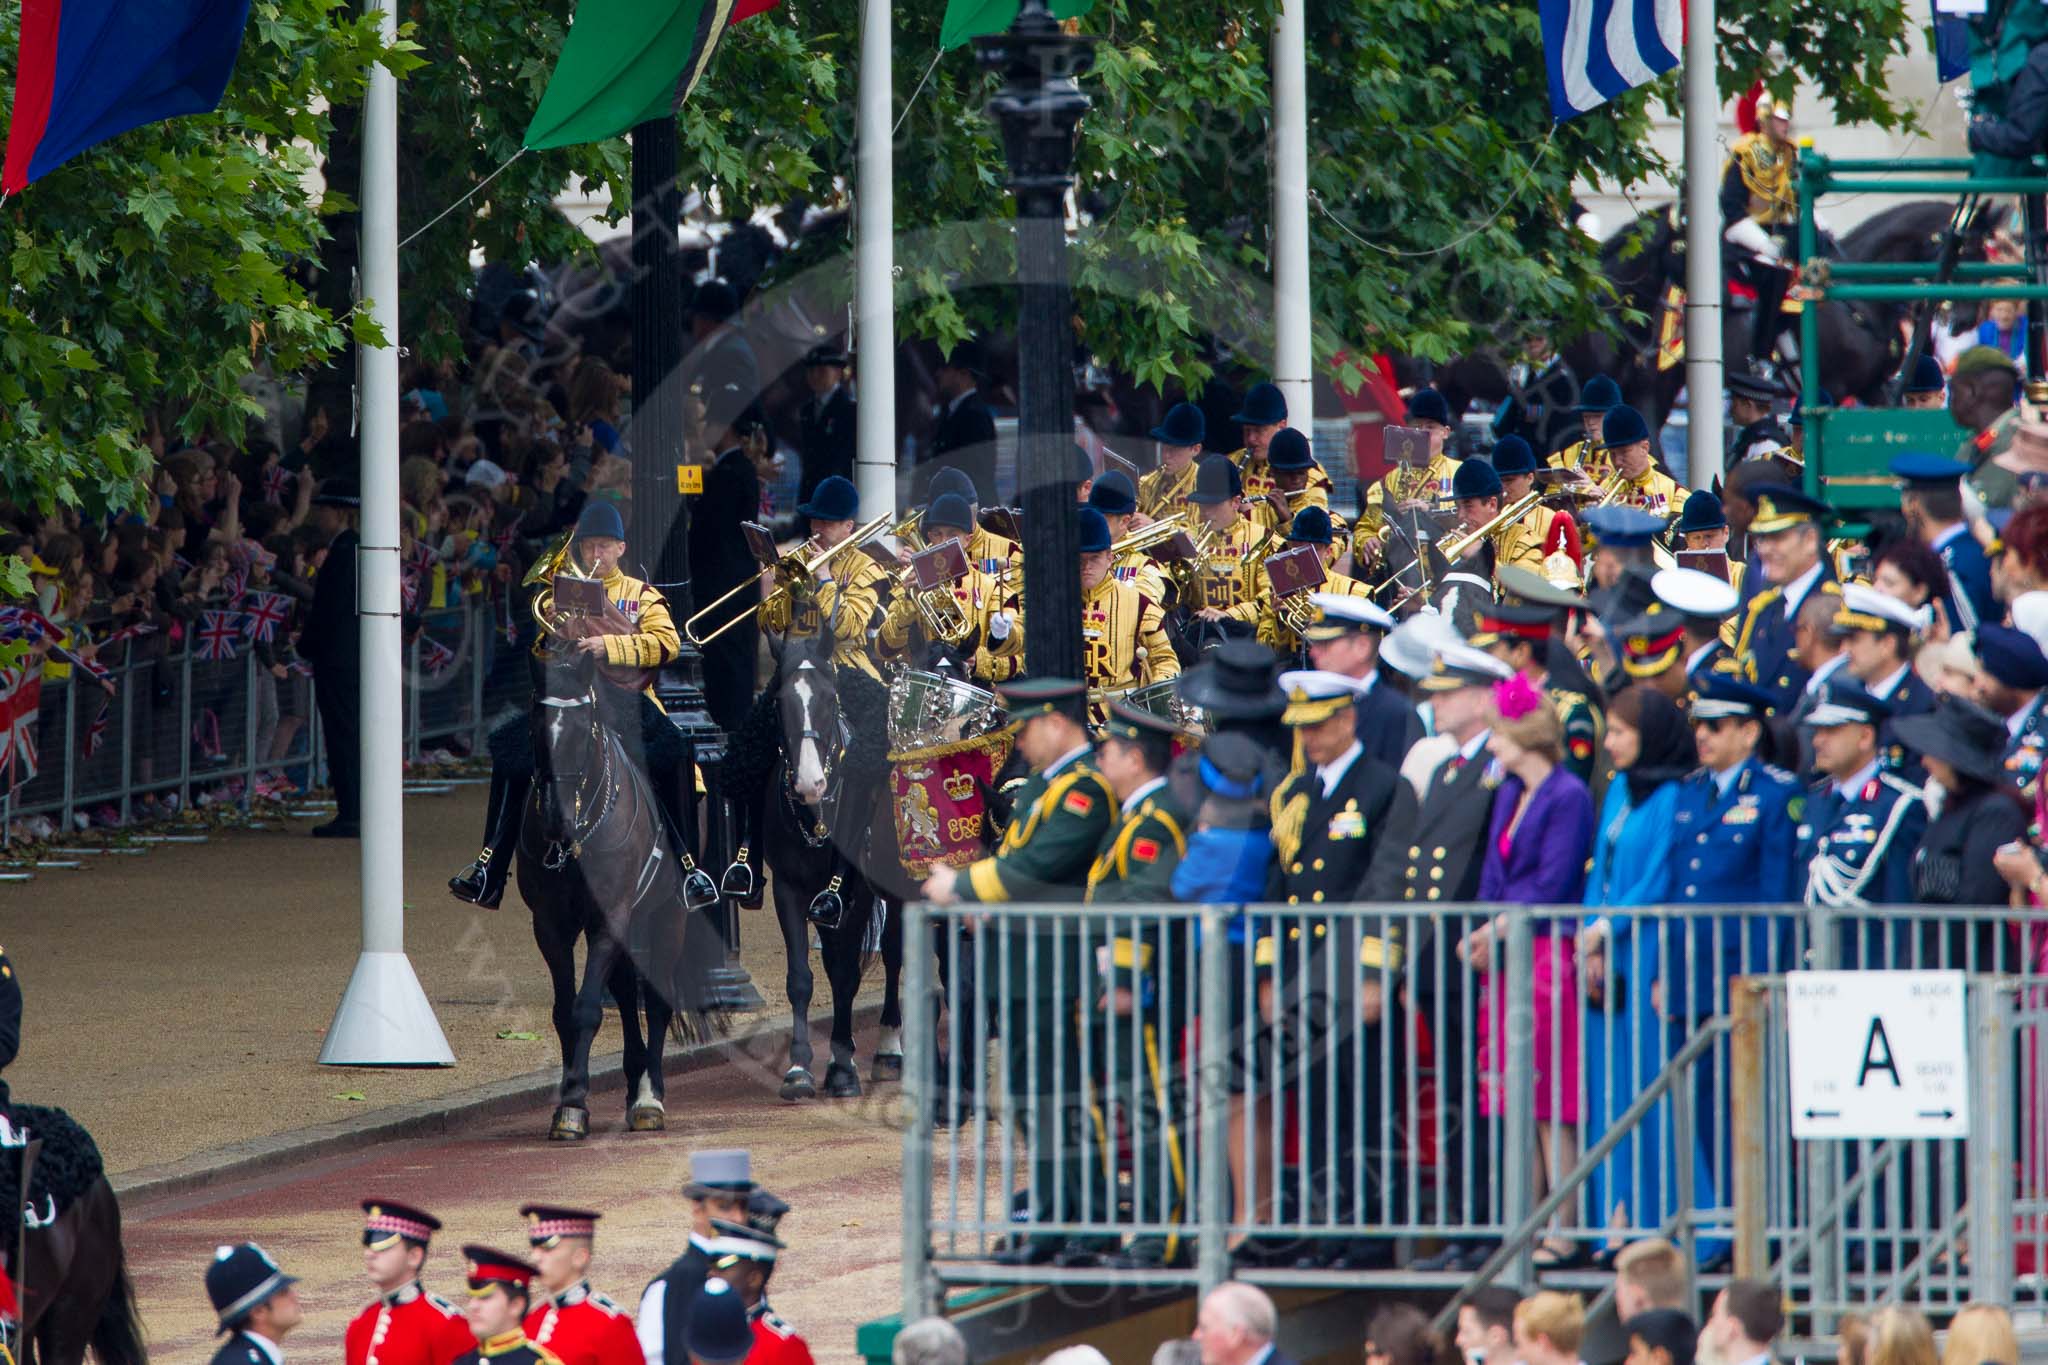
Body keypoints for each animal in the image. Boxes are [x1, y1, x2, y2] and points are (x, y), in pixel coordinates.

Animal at [516, 650, 724, 1146]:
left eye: (581, 728)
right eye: (535, 726)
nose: (555, 819)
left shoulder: (610, 916)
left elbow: (587, 1009)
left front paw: (574, 1103)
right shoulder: (550, 925)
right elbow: (564, 1011)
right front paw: (571, 1098)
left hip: (668, 915)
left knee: (659, 999)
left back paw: (649, 1097)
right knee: (629, 995)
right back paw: (633, 1083)